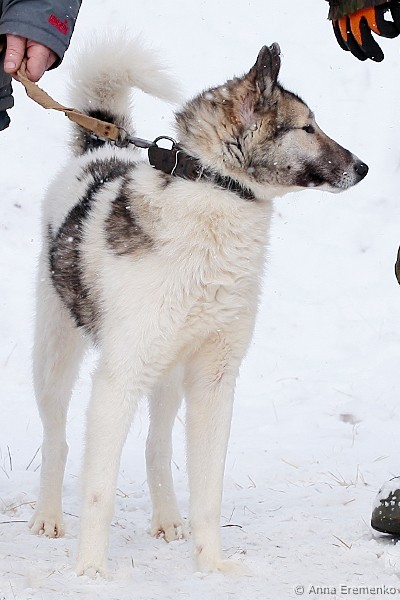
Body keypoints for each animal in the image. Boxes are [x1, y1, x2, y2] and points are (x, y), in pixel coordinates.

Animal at [28, 37, 368, 576]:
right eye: (307, 127)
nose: (363, 167)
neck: (216, 192)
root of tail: (105, 145)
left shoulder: (214, 379)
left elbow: (208, 491)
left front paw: (213, 565)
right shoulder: (118, 379)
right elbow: (99, 491)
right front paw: (91, 571)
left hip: (168, 373)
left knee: (157, 444)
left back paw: (167, 518)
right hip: (55, 354)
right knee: (57, 436)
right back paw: (47, 516)